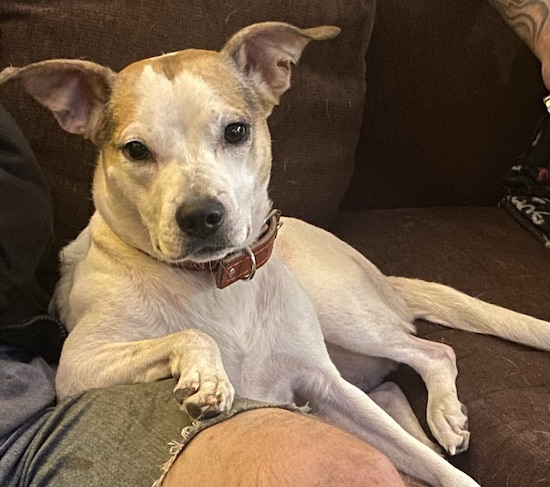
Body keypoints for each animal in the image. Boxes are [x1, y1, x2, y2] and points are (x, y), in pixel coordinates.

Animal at [2, 21, 548, 487]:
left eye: (236, 131)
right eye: (136, 150)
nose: (201, 216)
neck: (216, 281)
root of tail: (379, 275)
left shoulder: (326, 385)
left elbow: (444, 470)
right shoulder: (79, 365)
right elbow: (191, 333)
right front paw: (207, 375)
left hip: (341, 314)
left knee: (431, 353)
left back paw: (445, 414)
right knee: (398, 383)